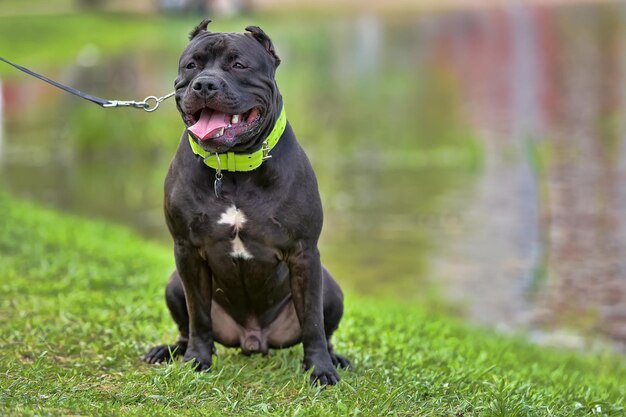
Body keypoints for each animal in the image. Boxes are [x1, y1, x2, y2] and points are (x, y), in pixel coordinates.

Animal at [145, 18, 352, 384]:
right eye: (192, 65)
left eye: (238, 65)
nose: (205, 84)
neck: (233, 167)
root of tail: (253, 339)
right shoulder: (186, 251)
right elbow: (198, 316)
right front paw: (197, 359)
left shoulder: (304, 253)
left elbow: (313, 322)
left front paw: (320, 369)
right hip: (173, 284)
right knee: (187, 326)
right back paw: (171, 351)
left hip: (332, 288)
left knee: (323, 328)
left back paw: (334, 357)